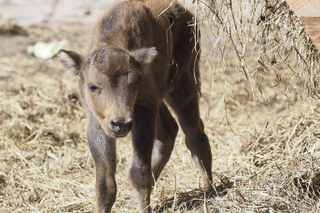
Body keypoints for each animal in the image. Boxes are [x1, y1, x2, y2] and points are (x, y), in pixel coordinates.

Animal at [59, 0, 212, 212]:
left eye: (134, 84)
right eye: (92, 86)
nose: (121, 123)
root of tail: (187, 14)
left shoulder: (143, 111)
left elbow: (138, 172)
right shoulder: (98, 121)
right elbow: (104, 184)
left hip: (182, 87)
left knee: (194, 133)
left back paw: (209, 190)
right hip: (160, 98)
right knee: (169, 131)